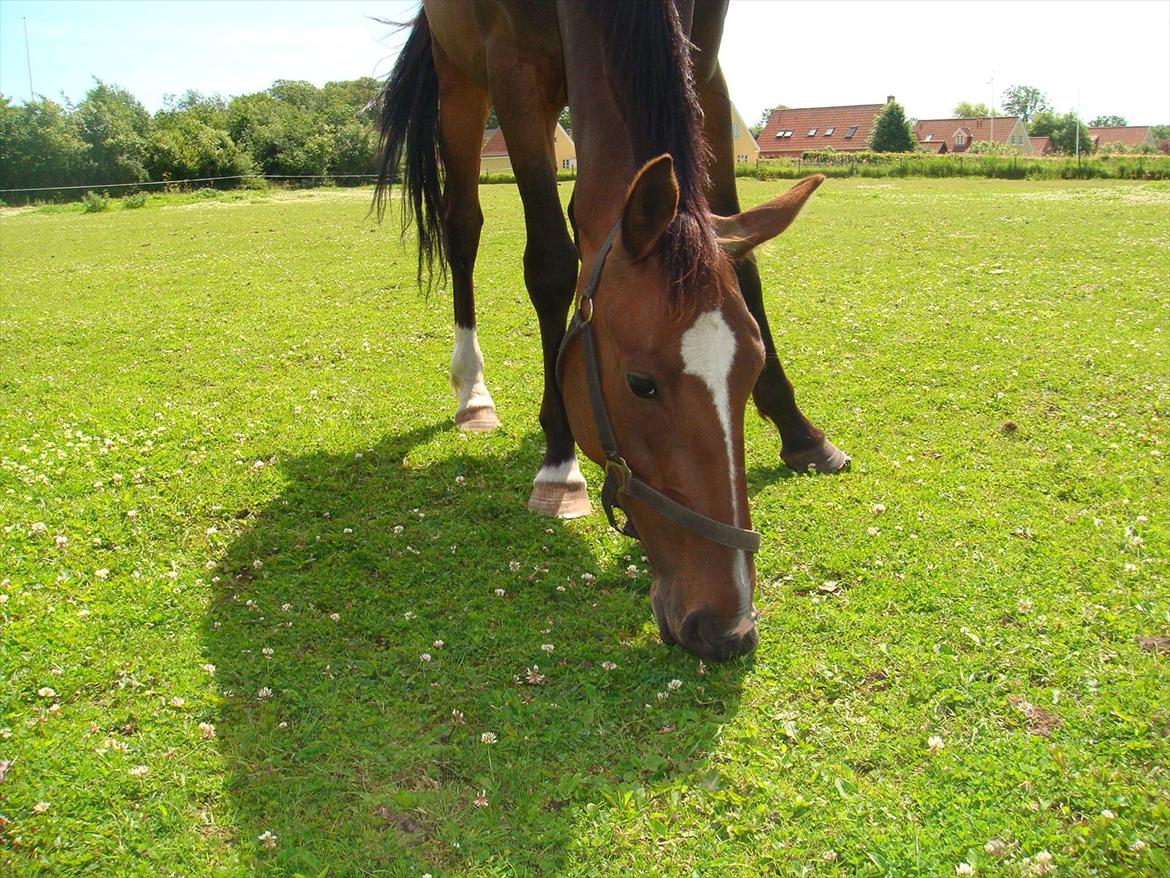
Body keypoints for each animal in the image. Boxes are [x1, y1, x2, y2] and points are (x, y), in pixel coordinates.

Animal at [374, 0, 842, 660]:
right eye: (640, 384)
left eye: (751, 368)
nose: (726, 628)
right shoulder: (513, 67)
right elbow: (550, 262)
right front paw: (559, 463)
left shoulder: (705, 56)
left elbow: (739, 250)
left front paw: (801, 432)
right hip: (460, 81)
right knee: (462, 225)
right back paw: (473, 393)